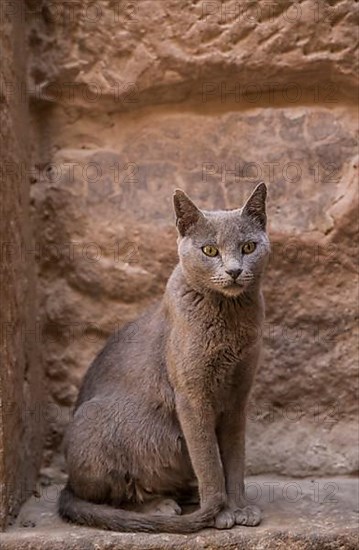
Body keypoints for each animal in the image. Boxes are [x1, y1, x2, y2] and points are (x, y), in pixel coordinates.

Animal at [58, 182, 270, 536]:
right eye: (209, 250)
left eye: (249, 246)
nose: (234, 271)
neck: (229, 319)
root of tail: (68, 484)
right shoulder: (192, 397)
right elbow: (209, 462)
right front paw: (221, 513)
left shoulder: (238, 397)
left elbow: (234, 460)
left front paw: (240, 507)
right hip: (95, 419)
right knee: (110, 498)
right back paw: (161, 506)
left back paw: (185, 495)